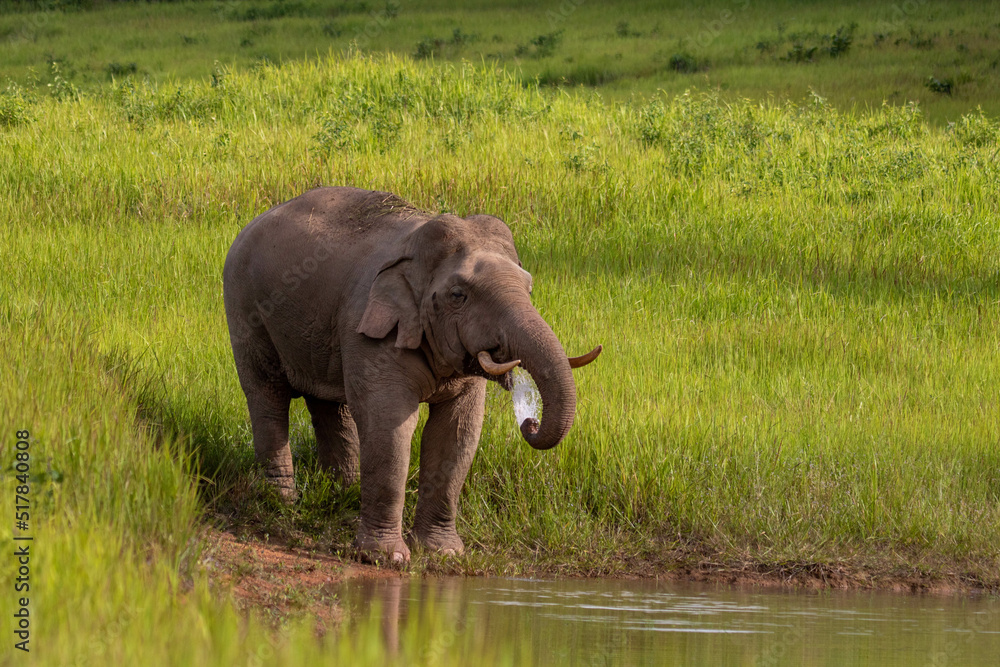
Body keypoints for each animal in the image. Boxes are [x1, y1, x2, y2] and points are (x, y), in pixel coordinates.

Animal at [223, 186, 600, 563]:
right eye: (458, 295)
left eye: (530, 289)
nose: (529, 423)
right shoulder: (370, 327)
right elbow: (389, 424)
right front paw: (385, 558)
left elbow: (457, 431)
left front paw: (443, 553)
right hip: (244, 304)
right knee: (268, 394)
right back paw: (281, 500)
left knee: (328, 405)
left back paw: (342, 493)